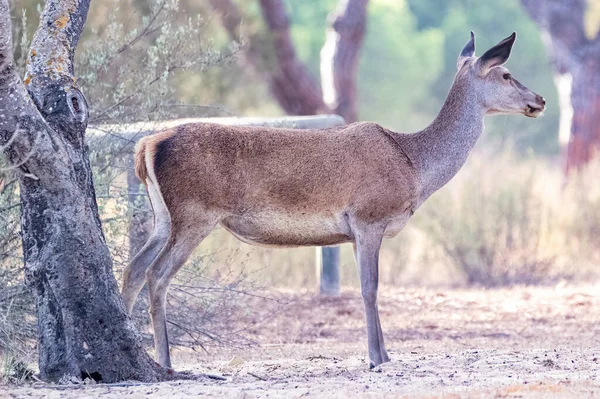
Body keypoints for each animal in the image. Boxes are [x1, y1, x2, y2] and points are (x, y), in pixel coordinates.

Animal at [122, 32, 548, 370]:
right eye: (506, 74)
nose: (541, 99)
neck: (414, 167)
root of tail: (146, 145)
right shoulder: (368, 216)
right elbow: (370, 288)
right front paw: (378, 358)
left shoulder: (356, 231)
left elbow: (367, 287)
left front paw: (382, 354)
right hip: (195, 213)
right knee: (156, 275)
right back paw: (165, 361)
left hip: (165, 217)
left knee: (132, 269)